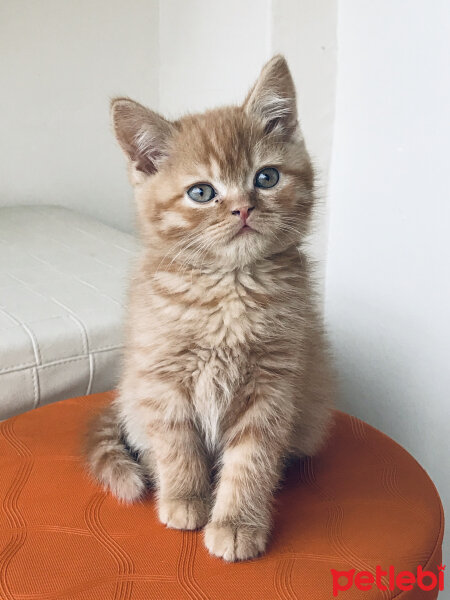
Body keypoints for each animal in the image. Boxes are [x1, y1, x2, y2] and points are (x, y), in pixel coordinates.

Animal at [87, 55, 334, 564]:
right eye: (201, 192)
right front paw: (185, 498)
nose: (242, 208)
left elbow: (252, 458)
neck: (229, 289)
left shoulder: (273, 384)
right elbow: (177, 443)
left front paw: (237, 522)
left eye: (266, 177)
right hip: (134, 394)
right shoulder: (163, 377)